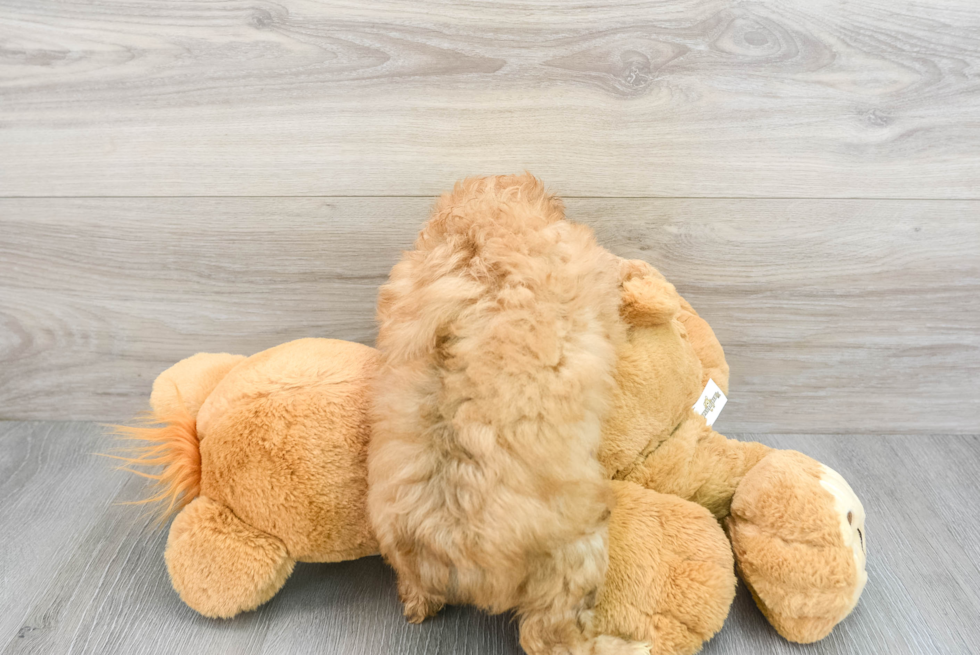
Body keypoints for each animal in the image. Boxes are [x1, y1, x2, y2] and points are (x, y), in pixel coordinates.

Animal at [364, 174, 648, 655]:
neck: (480, 233)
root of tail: (456, 553)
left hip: (402, 548)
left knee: (416, 589)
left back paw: (419, 606)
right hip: (577, 557)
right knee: (551, 637)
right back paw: (622, 644)